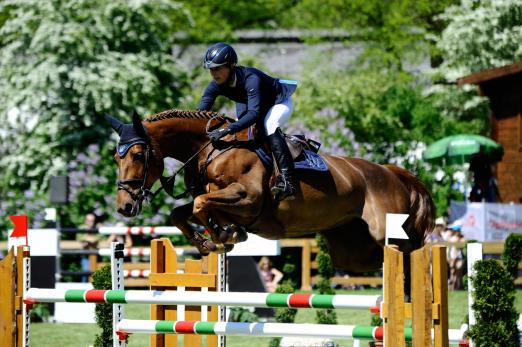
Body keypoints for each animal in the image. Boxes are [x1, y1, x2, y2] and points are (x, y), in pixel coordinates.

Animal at [107, 109, 432, 274]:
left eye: (137, 155)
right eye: (115, 158)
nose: (124, 206)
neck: (213, 148)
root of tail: (393, 173)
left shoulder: (247, 199)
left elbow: (200, 204)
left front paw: (224, 236)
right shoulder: (223, 198)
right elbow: (183, 211)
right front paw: (212, 241)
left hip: (386, 232)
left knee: (411, 252)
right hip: (351, 249)